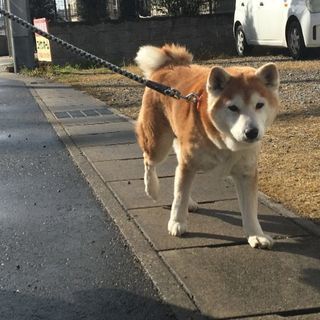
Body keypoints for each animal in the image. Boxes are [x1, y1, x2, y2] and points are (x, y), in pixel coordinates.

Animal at [135, 44, 280, 250]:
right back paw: (152, 189)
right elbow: (180, 195)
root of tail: (169, 64)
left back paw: (188, 201)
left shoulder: (246, 172)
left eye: (259, 105)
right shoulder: (189, 163)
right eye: (233, 107)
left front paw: (256, 235)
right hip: (158, 143)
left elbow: (250, 209)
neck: (226, 142)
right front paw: (177, 222)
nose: (251, 132)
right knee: (149, 162)